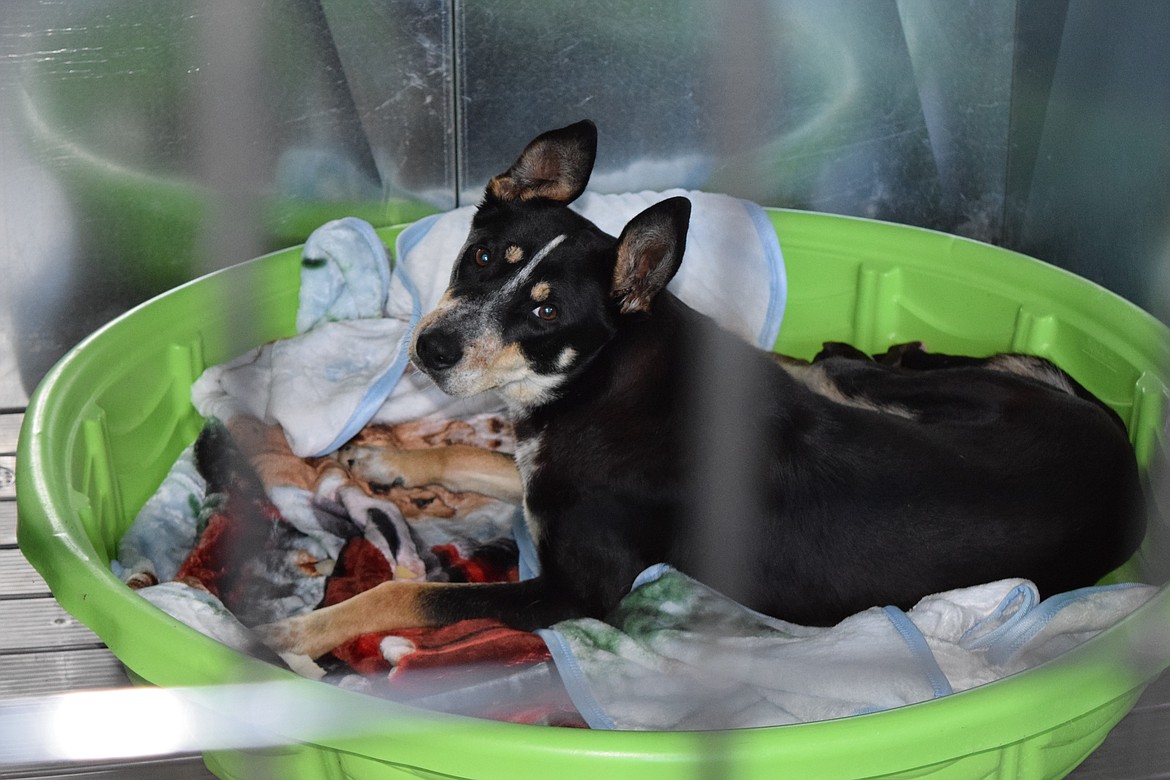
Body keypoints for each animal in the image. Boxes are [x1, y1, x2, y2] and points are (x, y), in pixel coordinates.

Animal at [260, 120, 1146, 659]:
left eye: (545, 311)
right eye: (482, 258)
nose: (432, 348)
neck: (596, 379)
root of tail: (1127, 461)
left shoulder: (574, 591)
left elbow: (403, 596)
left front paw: (301, 632)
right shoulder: (545, 485)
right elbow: (491, 465)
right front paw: (388, 462)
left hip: (876, 383)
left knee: (842, 360)